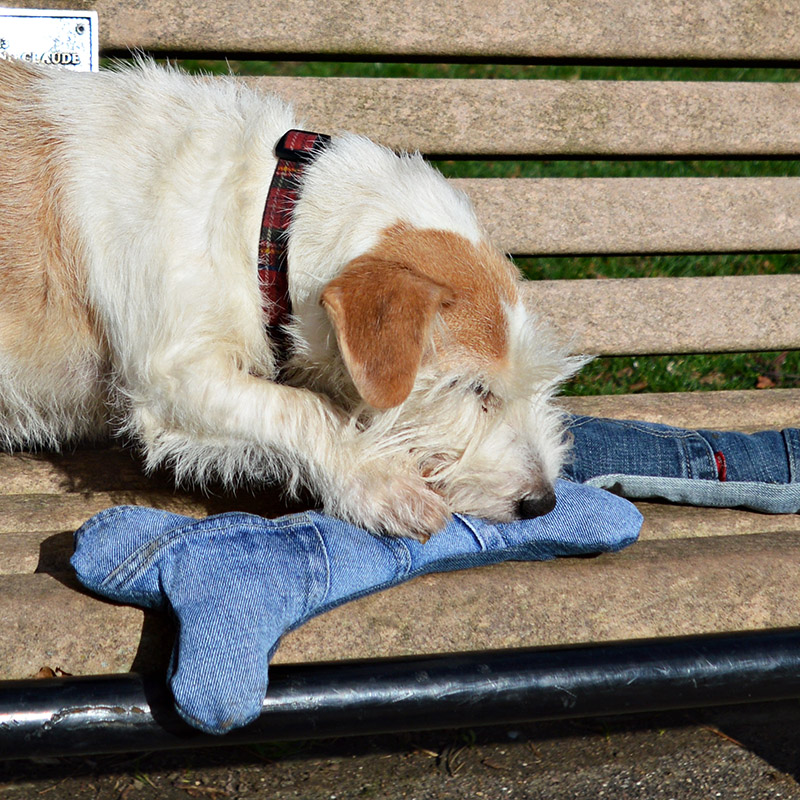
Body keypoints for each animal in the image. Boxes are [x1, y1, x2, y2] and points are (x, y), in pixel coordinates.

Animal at [0, 59, 580, 540]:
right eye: (471, 386)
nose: (543, 503)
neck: (266, 222)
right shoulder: (173, 377)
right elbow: (303, 407)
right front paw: (381, 483)